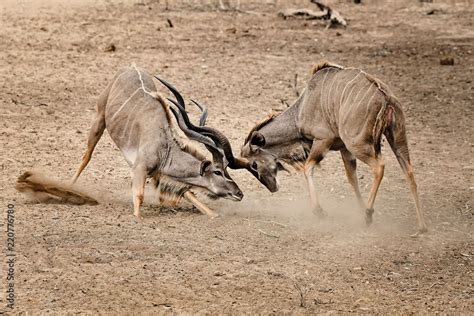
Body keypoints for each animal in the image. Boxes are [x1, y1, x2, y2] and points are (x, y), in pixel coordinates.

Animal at [74, 65, 244, 218]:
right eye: (218, 171)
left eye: (227, 170)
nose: (239, 193)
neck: (164, 147)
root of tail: (131, 67)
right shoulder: (140, 168)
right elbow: (139, 197)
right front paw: (137, 218)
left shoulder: (159, 174)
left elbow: (189, 193)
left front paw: (214, 215)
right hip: (99, 119)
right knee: (86, 156)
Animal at [241, 61, 430, 235]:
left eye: (254, 164)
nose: (272, 188)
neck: (300, 111)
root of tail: (386, 99)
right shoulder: (343, 149)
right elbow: (352, 178)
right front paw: (358, 209)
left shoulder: (323, 140)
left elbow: (308, 168)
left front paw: (319, 211)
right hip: (397, 140)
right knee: (409, 172)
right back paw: (421, 227)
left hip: (357, 144)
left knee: (380, 166)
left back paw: (368, 214)